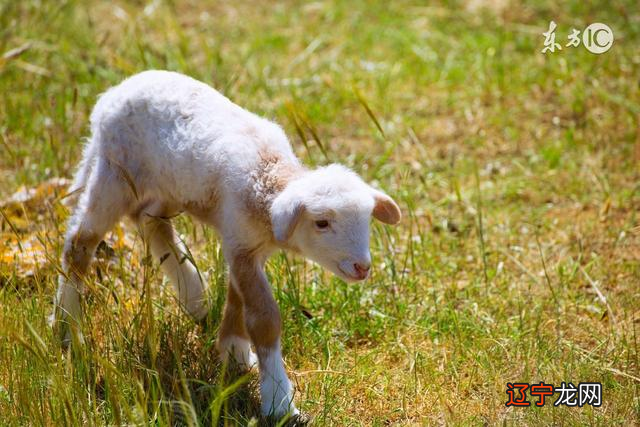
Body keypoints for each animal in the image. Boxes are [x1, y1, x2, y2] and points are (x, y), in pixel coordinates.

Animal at [51, 69, 400, 418]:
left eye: (367, 220)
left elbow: (238, 301)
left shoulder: (245, 244)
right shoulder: (241, 244)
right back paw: (66, 327)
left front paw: (235, 353)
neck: (267, 178)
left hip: (167, 186)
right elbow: (263, 319)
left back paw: (194, 297)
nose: (362, 267)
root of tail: (111, 95)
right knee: (80, 242)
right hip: (115, 174)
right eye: (322, 223)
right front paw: (279, 401)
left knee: (151, 222)